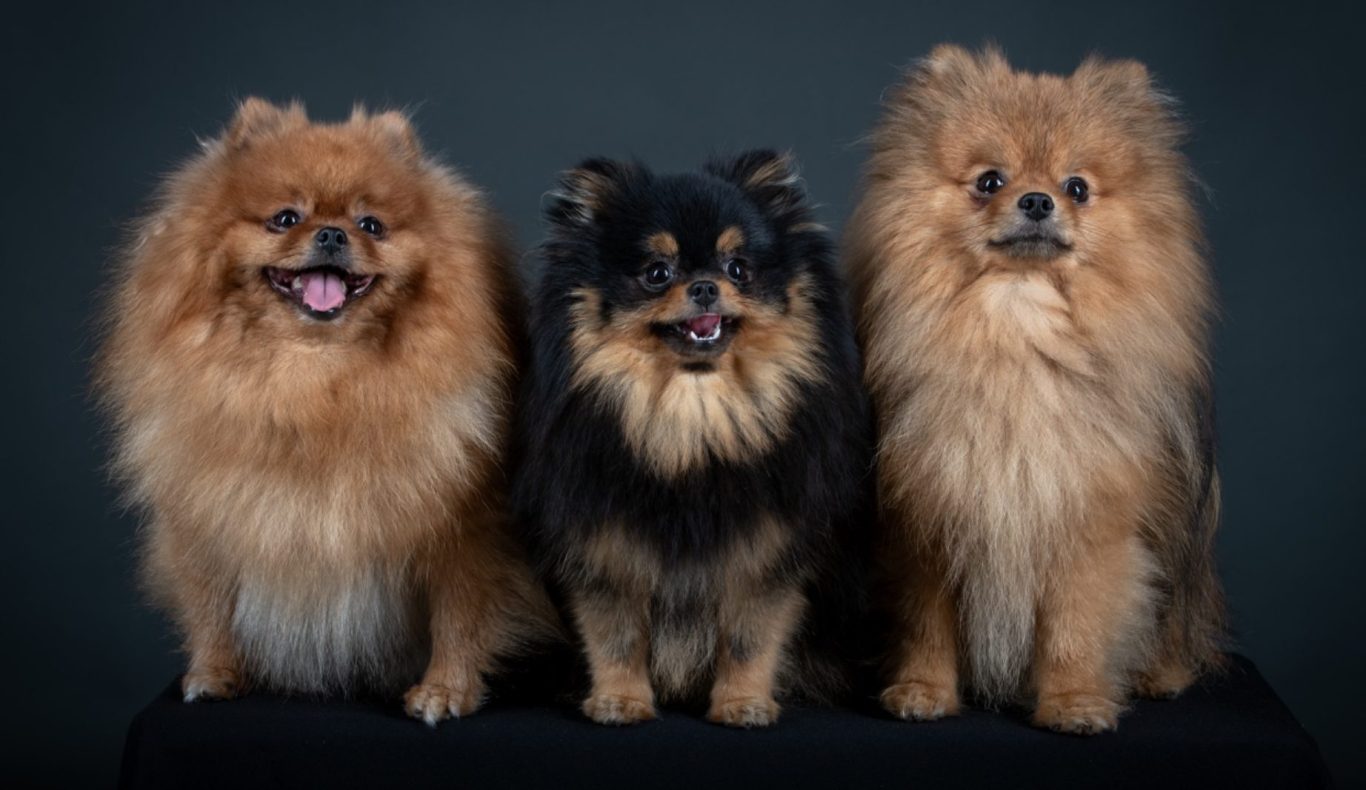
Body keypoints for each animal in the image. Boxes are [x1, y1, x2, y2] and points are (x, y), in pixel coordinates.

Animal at [96, 98, 557, 721]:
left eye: (372, 225)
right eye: (285, 218)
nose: (333, 233)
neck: (315, 379)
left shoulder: (465, 530)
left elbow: (459, 616)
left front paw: (444, 691)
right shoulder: (210, 511)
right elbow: (210, 604)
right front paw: (214, 674)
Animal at [846, 44, 1223, 732]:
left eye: (1077, 188)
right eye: (990, 181)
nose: (1039, 200)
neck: (1015, 336)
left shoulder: (1085, 524)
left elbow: (1075, 628)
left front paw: (1073, 703)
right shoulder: (929, 523)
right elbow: (925, 625)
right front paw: (922, 691)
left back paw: (1160, 676)